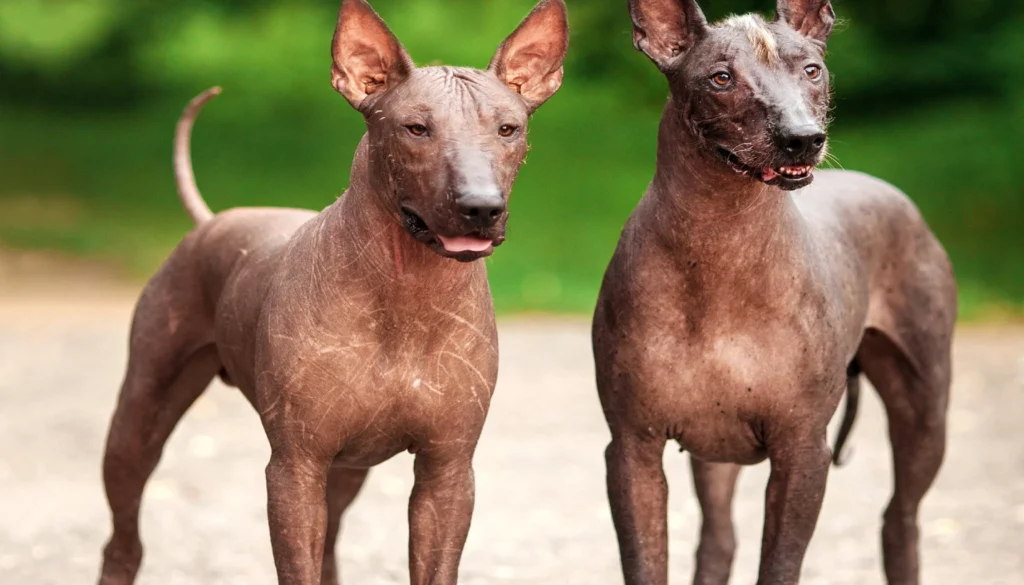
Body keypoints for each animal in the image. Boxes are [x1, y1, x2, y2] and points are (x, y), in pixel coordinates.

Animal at [96, 1, 569, 585]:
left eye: (508, 129)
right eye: (417, 128)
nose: (480, 206)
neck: (407, 294)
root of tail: (213, 220)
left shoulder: (448, 470)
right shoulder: (295, 468)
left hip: (347, 470)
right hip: (139, 421)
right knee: (124, 538)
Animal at [598, 1, 954, 585]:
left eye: (812, 70)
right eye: (721, 78)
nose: (802, 137)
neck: (718, 245)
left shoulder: (803, 450)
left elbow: (781, 564)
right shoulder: (632, 451)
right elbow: (646, 562)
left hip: (924, 412)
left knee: (900, 519)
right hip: (713, 451)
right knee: (718, 538)